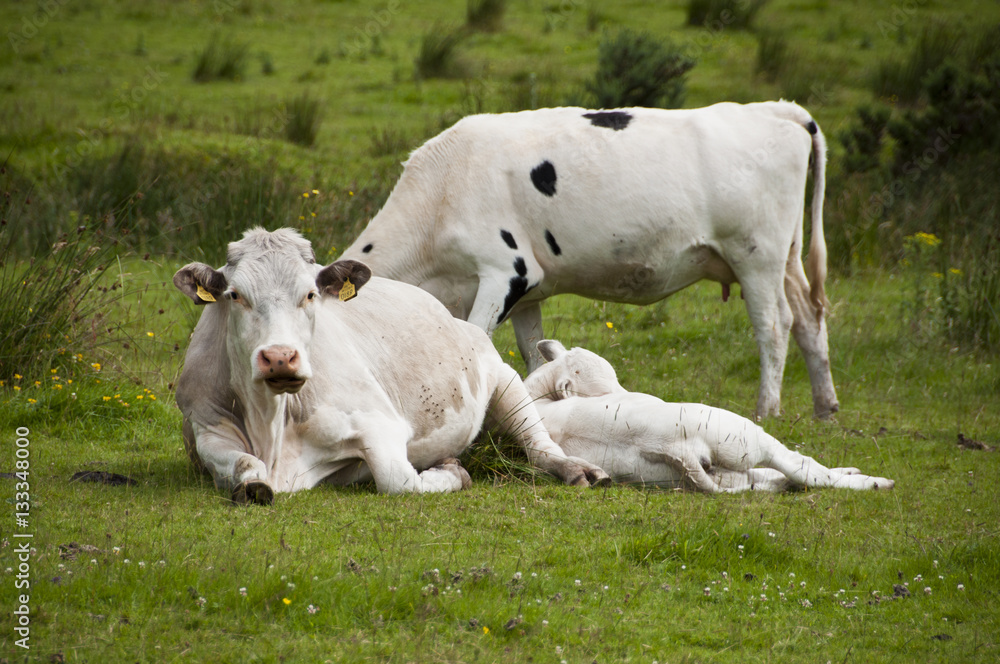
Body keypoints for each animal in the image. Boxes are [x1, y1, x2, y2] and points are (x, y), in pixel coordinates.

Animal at [172, 228, 609, 504]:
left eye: (310, 294)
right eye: (235, 295)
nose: (280, 356)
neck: (273, 422)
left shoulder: (379, 423)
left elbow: (399, 481)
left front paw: (451, 473)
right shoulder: (208, 428)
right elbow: (247, 466)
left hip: (505, 378)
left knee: (539, 446)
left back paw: (578, 470)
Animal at [341, 102, 838, 419]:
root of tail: (775, 108)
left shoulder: (508, 271)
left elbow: (477, 339)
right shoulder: (529, 294)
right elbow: (533, 355)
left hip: (757, 254)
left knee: (775, 325)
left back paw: (767, 409)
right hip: (787, 257)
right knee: (810, 318)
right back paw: (825, 407)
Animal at [522, 340, 893, 492]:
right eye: (605, 389)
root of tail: (673, 447)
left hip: (717, 472)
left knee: (771, 479)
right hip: (745, 436)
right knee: (803, 469)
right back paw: (874, 482)